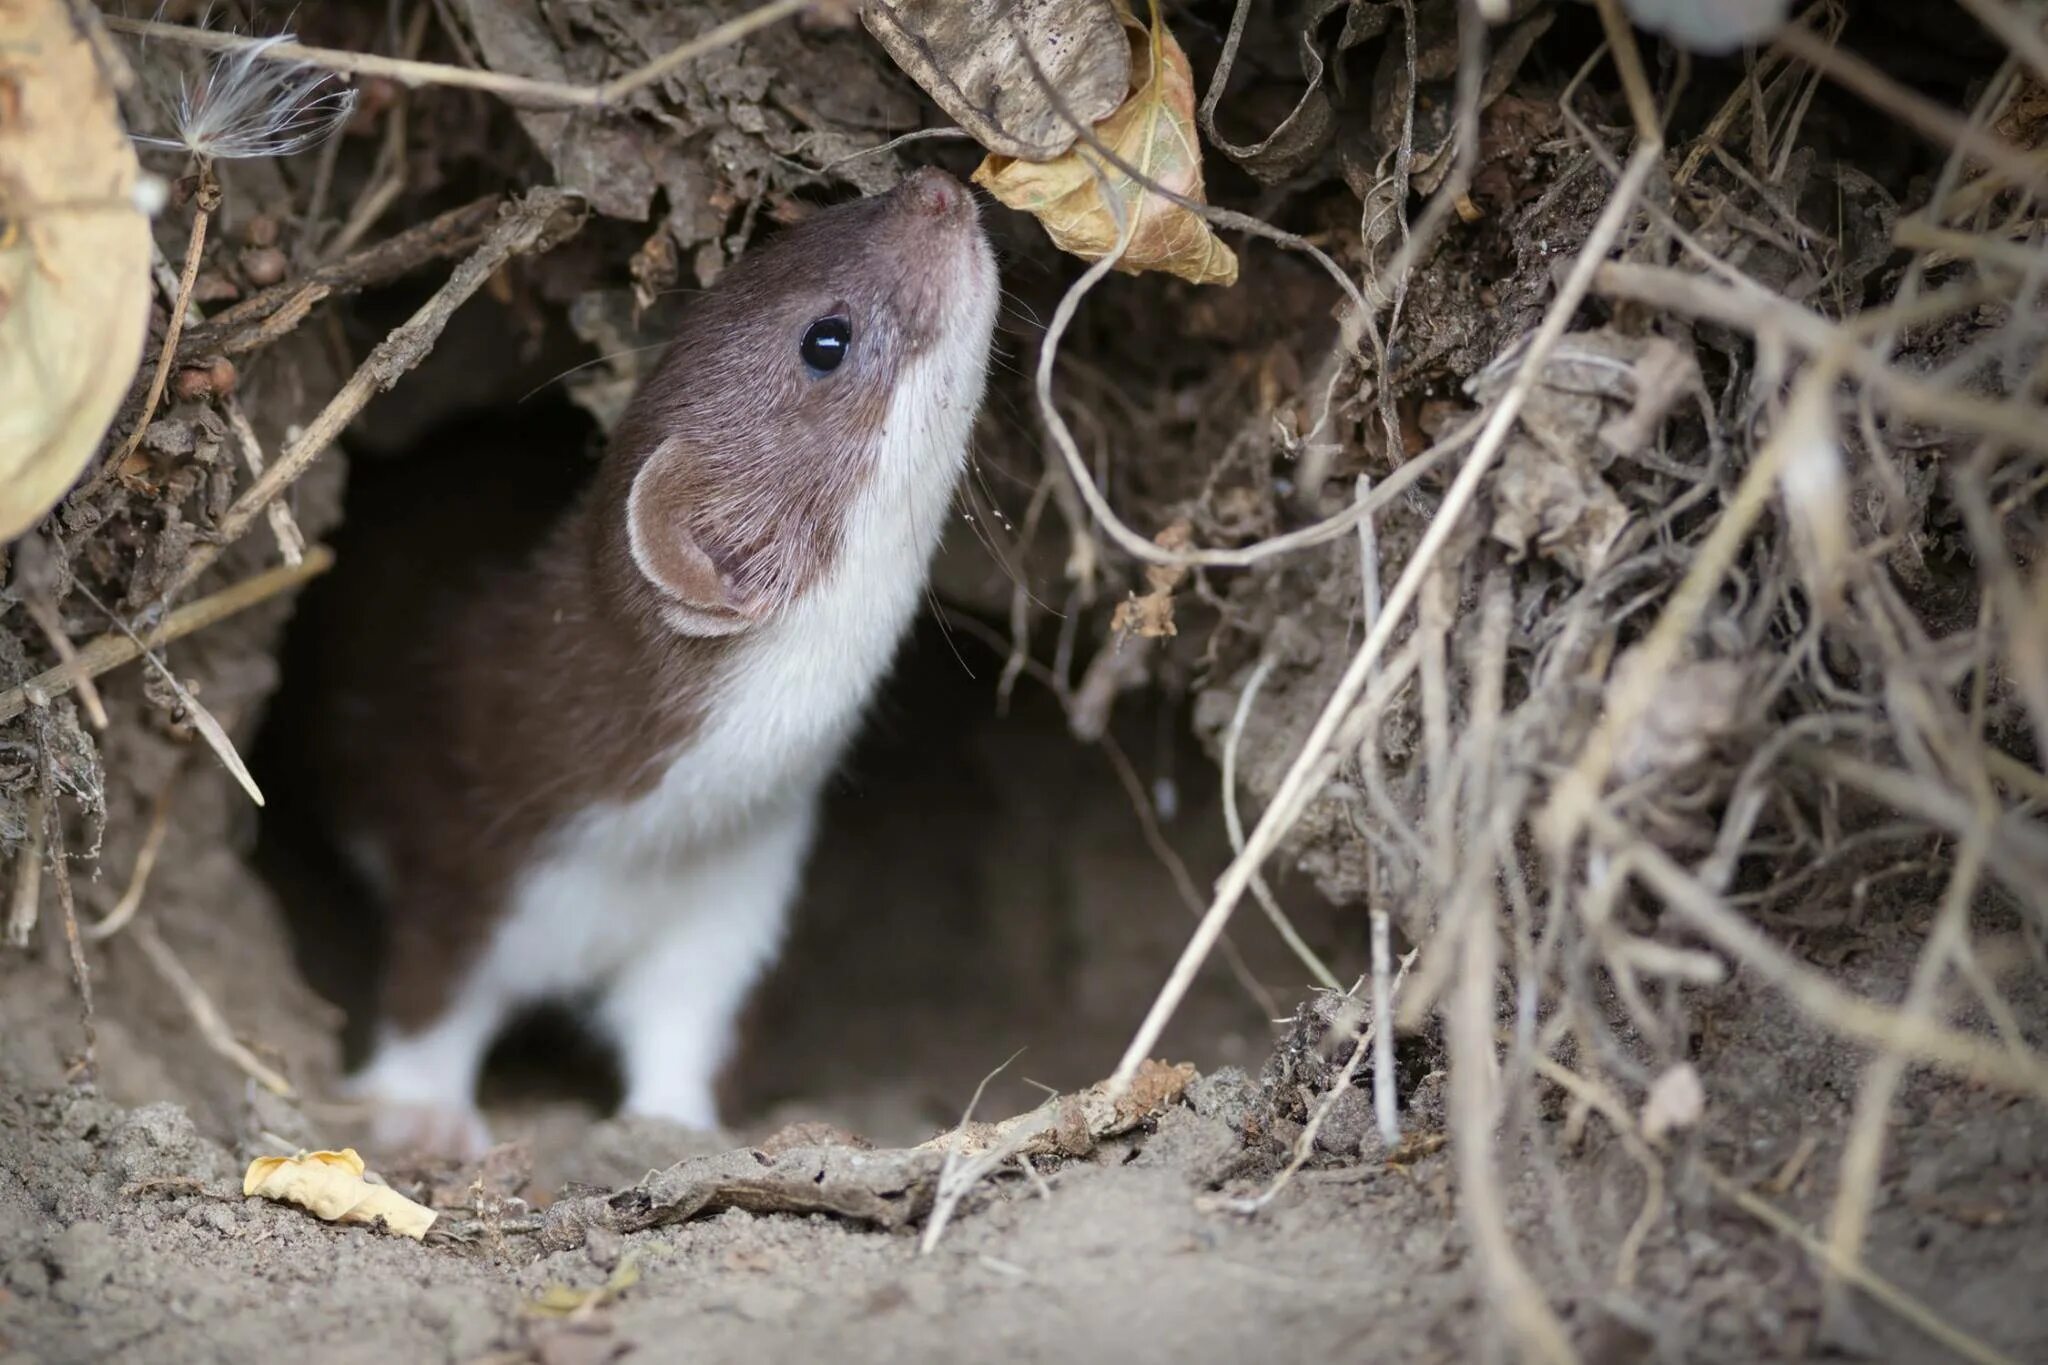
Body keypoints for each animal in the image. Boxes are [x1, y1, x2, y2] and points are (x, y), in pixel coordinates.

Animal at [303, 167, 999, 1154]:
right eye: (825, 340)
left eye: (787, 235)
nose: (934, 186)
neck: (654, 840)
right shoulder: (470, 842)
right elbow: (432, 993)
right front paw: (421, 1113)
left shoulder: (733, 904)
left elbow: (687, 1029)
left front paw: (677, 1128)